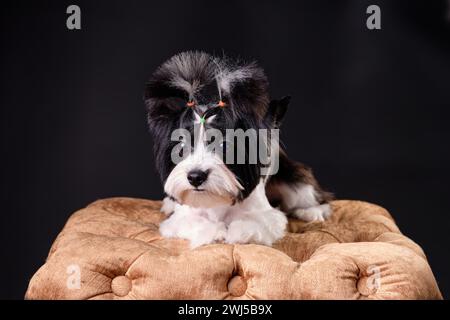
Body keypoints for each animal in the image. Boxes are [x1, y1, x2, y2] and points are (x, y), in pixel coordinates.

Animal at [144, 52, 334, 248]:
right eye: (181, 146)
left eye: (224, 145)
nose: (195, 177)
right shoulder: (180, 219)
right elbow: (192, 221)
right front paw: (214, 231)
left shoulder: (268, 216)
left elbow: (257, 223)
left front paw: (238, 231)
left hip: (294, 180)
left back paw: (312, 211)